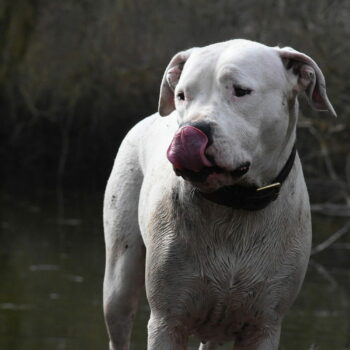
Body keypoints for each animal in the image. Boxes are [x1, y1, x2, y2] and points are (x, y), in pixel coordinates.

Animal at [104, 39, 336, 348]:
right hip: (118, 280)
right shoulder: (167, 322)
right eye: (182, 95)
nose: (192, 131)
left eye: (241, 91)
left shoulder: (264, 326)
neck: (234, 204)